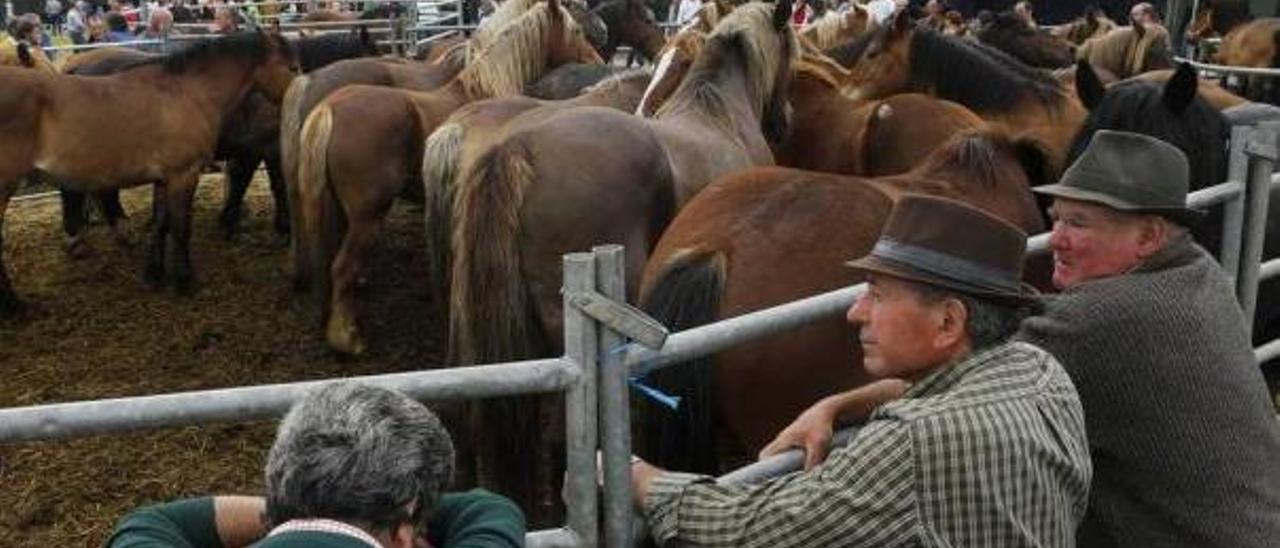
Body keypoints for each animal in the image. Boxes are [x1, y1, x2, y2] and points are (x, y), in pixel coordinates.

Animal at [0, 31, 294, 312]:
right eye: (292, 66)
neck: (186, 92)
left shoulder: (165, 178)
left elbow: (162, 223)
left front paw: (154, 274)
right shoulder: (184, 174)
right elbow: (180, 227)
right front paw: (185, 281)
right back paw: (14, 304)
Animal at [294, 0, 604, 355]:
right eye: (576, 28)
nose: (599, 61)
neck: (484, 88)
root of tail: (329, 107)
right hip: (367, 217)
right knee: (342, 267)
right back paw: (347, 337)